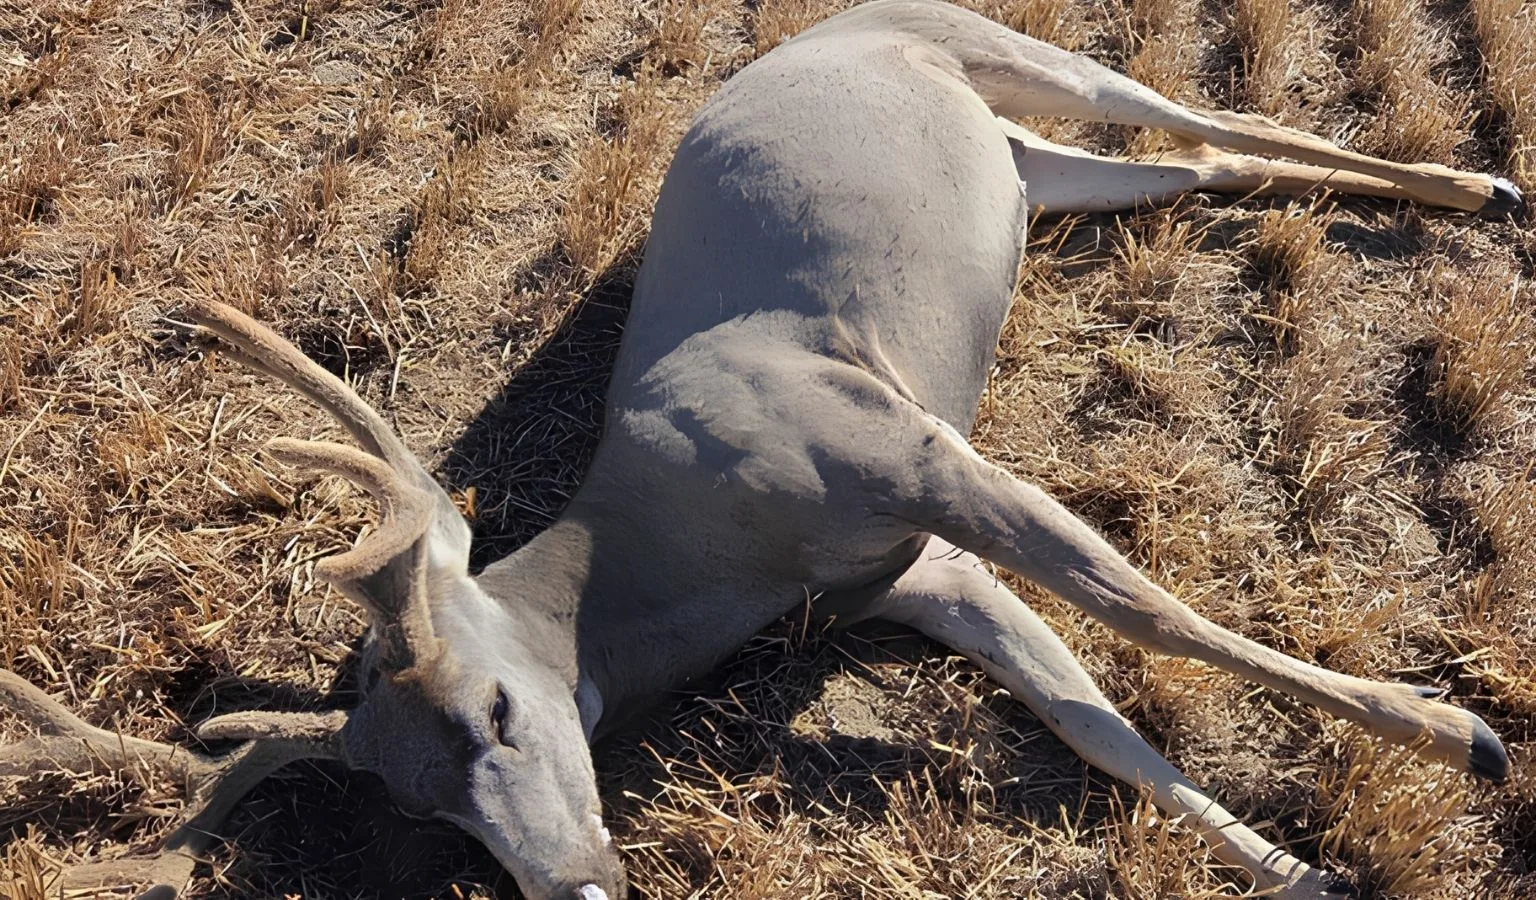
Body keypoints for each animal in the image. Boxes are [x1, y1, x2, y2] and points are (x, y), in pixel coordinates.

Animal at [1, 1, 1520, 897]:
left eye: (496, 714)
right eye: (423, 810)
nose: (575, 882)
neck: (698, 543)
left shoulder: (905, 448)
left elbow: (1155, 615)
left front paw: (1462, 736)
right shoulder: (909, 578)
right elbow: (1093, 722)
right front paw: (1300, 870)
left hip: (1015, 51)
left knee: (1213, 114)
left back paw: (1487, 182)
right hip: (1031, 167)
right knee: (1205, 169)